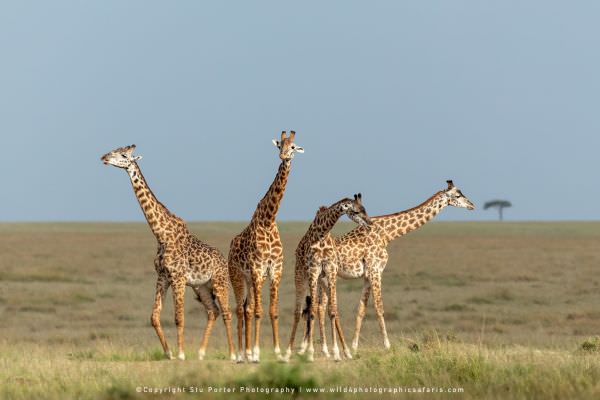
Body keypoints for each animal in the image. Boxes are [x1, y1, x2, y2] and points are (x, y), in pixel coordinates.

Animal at [102, 145, 236, 360]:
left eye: (123, 154)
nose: (104, 158)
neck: (161, 235)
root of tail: (224, 260)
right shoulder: (163, 277)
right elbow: (154, 316)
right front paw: (169, 352)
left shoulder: (178, 278)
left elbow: (178, 318)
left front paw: (180, 354)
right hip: (201, 286)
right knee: (212, 311)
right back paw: (201, 352)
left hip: (219, 282)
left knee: (227, 313)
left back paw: (233, 354)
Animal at [230, 130, 304, 362]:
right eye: (279, 145)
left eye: (293, 147)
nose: (283, 156)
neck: (269, 220)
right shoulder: (257, 268)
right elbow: (258, 312)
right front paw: (255, 353)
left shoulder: (274, 270)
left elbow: (272, 311)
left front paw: (278, 352)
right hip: (238, 277)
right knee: (240, 309)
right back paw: (241, 354)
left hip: (251, 279)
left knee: (247, 308)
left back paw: (245, 352)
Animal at [282, 194, 370, 362]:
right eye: (356, 211)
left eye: (365, 209)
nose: (370, 224)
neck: (322, 234)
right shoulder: (313, 272)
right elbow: (312, 312)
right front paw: (310, 353)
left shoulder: (330, 273)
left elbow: (333, 311)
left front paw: (337, 353)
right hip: (301, 277)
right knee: (299, 311)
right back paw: (288, 352)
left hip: (322, 282)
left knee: (325, 308)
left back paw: (346, 352)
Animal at [310, 180, 474, 352]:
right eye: (457, 195)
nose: (472, 205)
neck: (387, 234)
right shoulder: (375, 271)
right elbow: (379, 307)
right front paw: (387, 345)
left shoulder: (368, 274)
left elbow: (361, 309)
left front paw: (354, 346)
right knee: (321, 307)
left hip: (323, 278)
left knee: (321, 307)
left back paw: (326, 347)